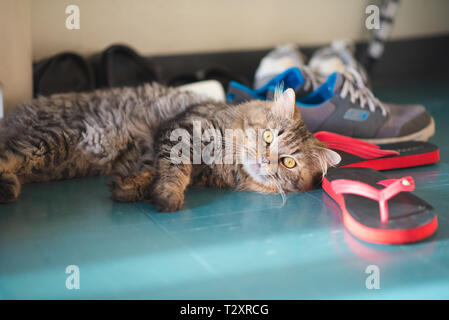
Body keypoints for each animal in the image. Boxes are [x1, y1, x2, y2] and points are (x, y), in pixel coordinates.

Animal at [0, 82, 338, 211]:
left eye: (288, 163)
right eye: (268, 137)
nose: (266, 161)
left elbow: (149, 173)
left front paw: (131, 189)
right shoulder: (181, 131)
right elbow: (174, 171)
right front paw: (167, 196)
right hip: (54, 138)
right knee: (7, 155)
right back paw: (7, 188)